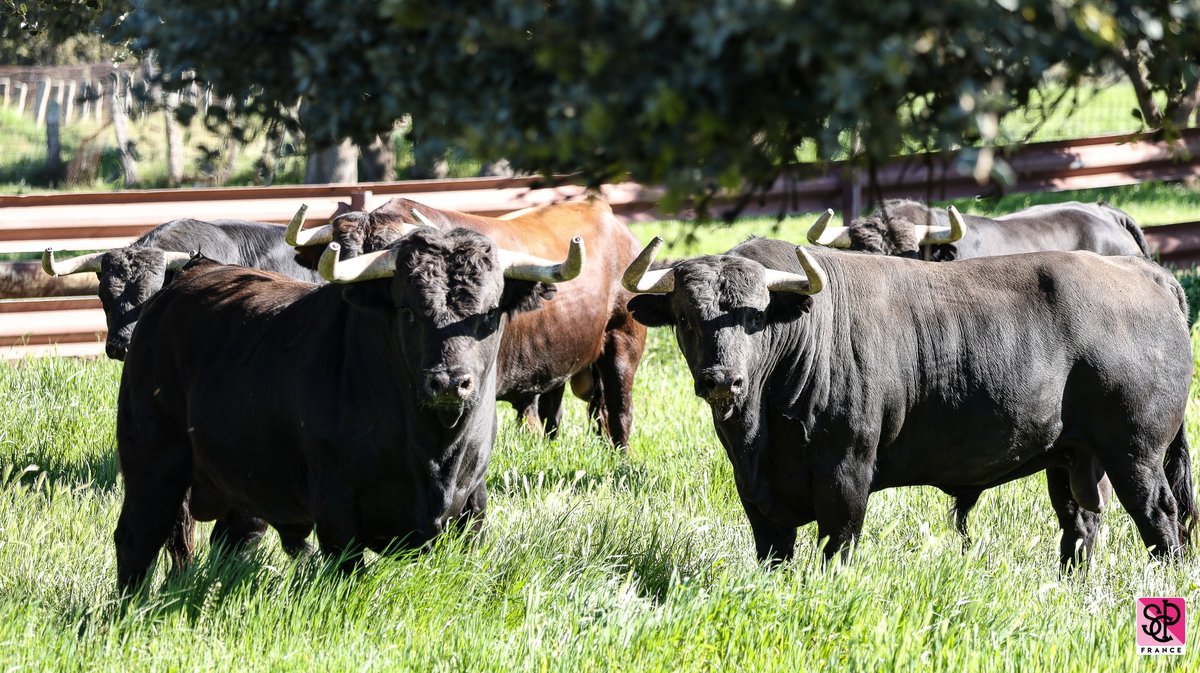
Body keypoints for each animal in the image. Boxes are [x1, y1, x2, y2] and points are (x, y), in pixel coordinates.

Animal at [112, 227, 566, 590]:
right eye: (407, 310)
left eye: (489, 314)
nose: (450, 382)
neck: (433, 448)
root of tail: (186, 278)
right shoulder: (337, 503)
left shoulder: (473, 501)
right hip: (153, 462)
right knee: (136, 538)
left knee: (227, 541)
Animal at [633, 238, 1195, 563]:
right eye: (684, 318)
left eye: (754, 315)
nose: (722, 380)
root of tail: (1146, 272)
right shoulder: (758, 499)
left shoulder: (846, 477)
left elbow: (837, 549)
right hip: (1073, 457)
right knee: (1080, 525)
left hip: (1136, 455)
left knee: (1161, 518)